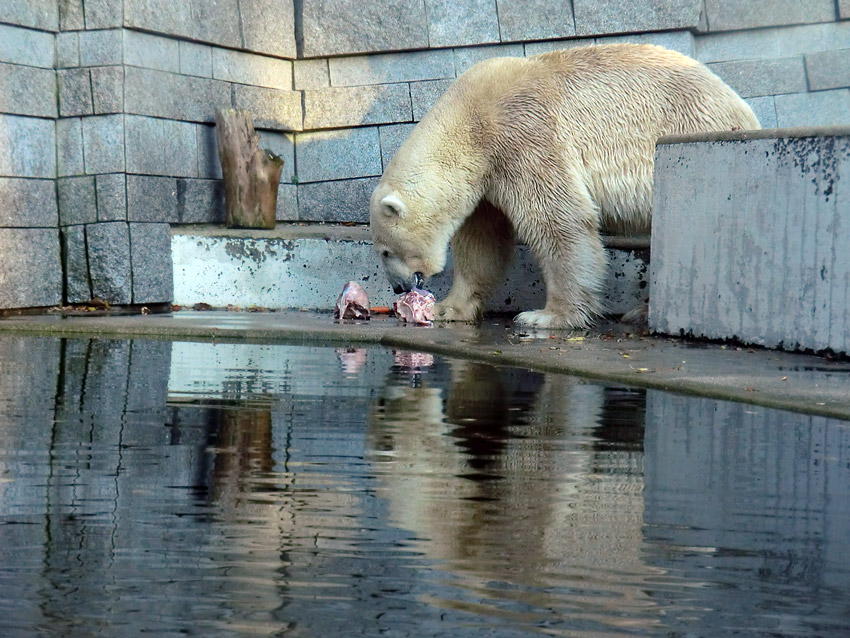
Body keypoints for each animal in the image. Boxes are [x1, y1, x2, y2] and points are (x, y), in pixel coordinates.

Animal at [368, 43, 760, 330]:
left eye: (385, 251)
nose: (398, 288)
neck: (470, 120)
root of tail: (744, 110)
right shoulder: (486, 178)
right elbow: (481, 242)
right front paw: (449, 308)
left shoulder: (524, 134)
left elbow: (559, 220)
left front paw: (546, 316)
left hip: (686, 136)